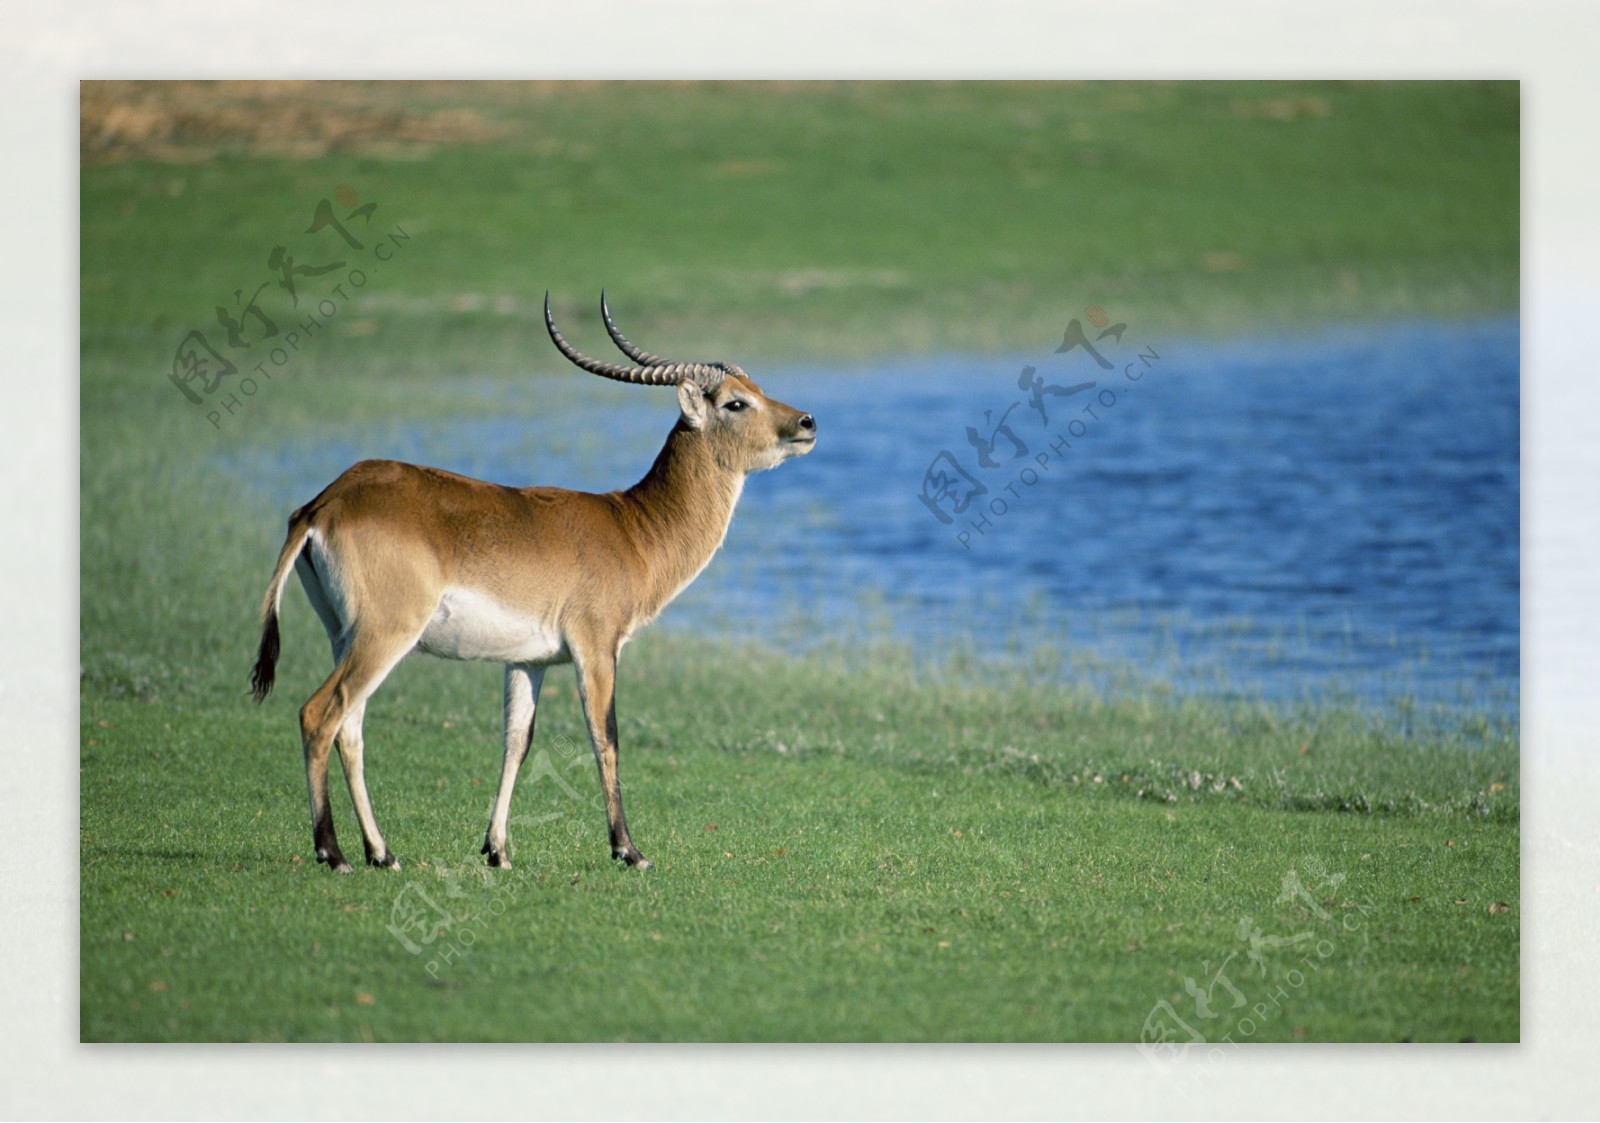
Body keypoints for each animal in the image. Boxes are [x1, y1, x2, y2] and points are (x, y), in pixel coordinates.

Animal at [252, 294, 825, 876]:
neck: (633, 528)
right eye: (735, 402)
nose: (807, 422)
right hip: (385, 634)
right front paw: (629, 850)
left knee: (350, 727)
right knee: (319, 713)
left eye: (755, 388)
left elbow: (516, 742)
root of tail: (324, 502)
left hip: (344, 635)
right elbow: (606, 737)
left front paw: (497, 850)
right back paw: (333, 852)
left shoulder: (528, 660)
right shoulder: (596, 647)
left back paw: (382, 853)